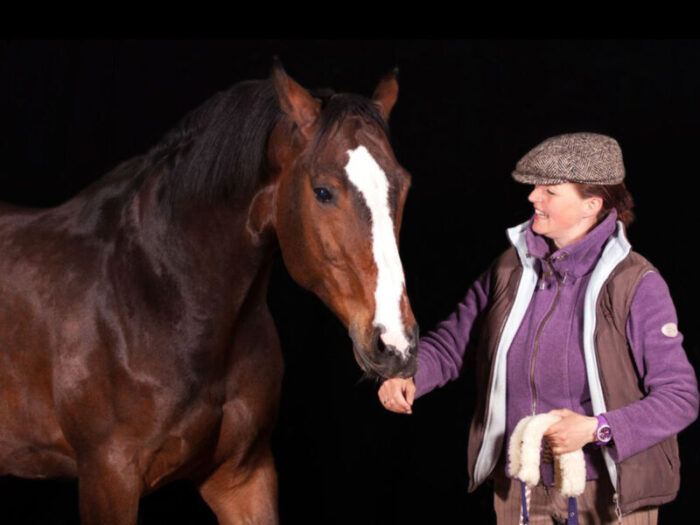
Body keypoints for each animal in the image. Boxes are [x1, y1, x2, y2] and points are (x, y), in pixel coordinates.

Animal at [0, 62, 416, 524]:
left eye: (403, 185)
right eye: (323, 191)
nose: (395, 345)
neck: (159, 296)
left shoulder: (243, 477)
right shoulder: (107, 480)